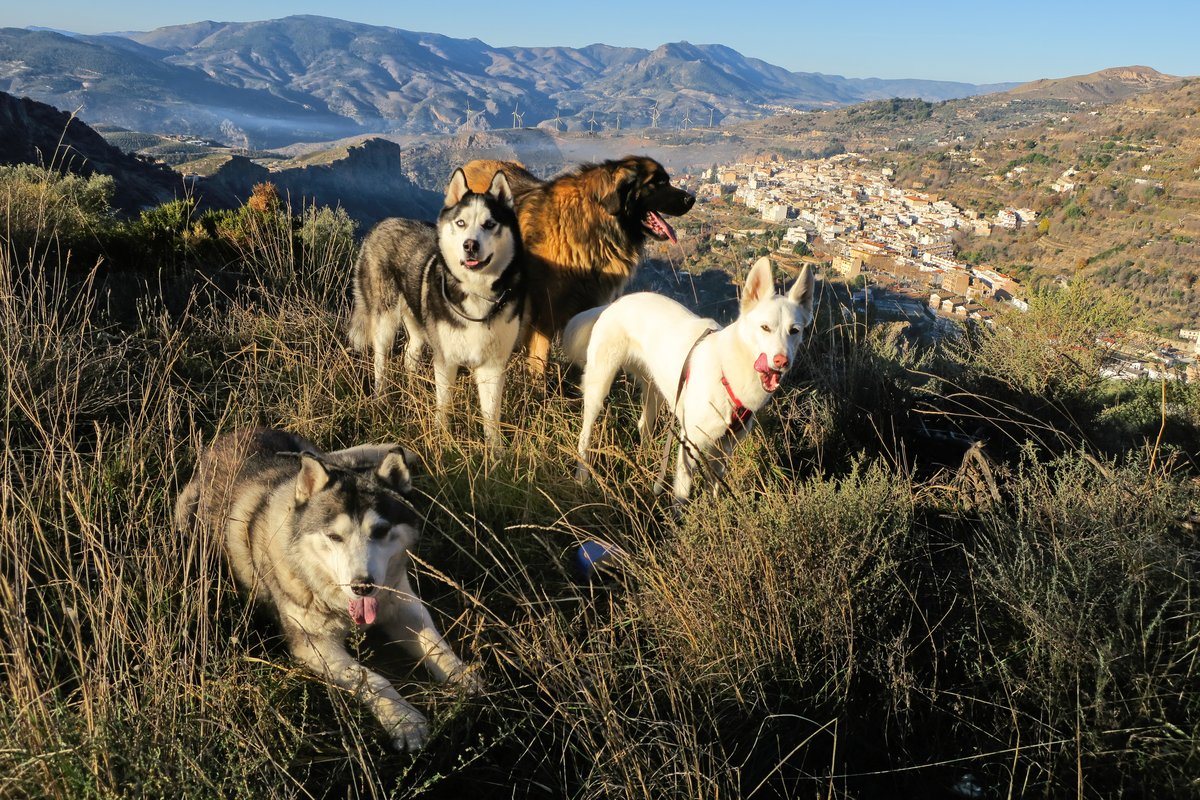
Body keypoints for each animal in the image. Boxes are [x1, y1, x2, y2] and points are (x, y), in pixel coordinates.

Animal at [463, 157, 700, 376]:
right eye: (657, 183)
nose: (692, 199)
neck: (595, 220)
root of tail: (472, 163)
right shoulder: (547, 311)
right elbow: (540, 357)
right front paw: (538, 385)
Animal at [564, 260, 816, 503]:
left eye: (794, 331)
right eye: (765, 328)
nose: (782, 361)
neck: (727, 371)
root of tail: (615, 303)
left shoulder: (724, 448)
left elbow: (714, 489)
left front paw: (713, 511)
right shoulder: (689, 445)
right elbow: (681, 498)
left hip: (654, 389)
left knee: (643, 424)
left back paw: (645, 462)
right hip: (599, 385)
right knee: (585, 433)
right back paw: (582, 475)